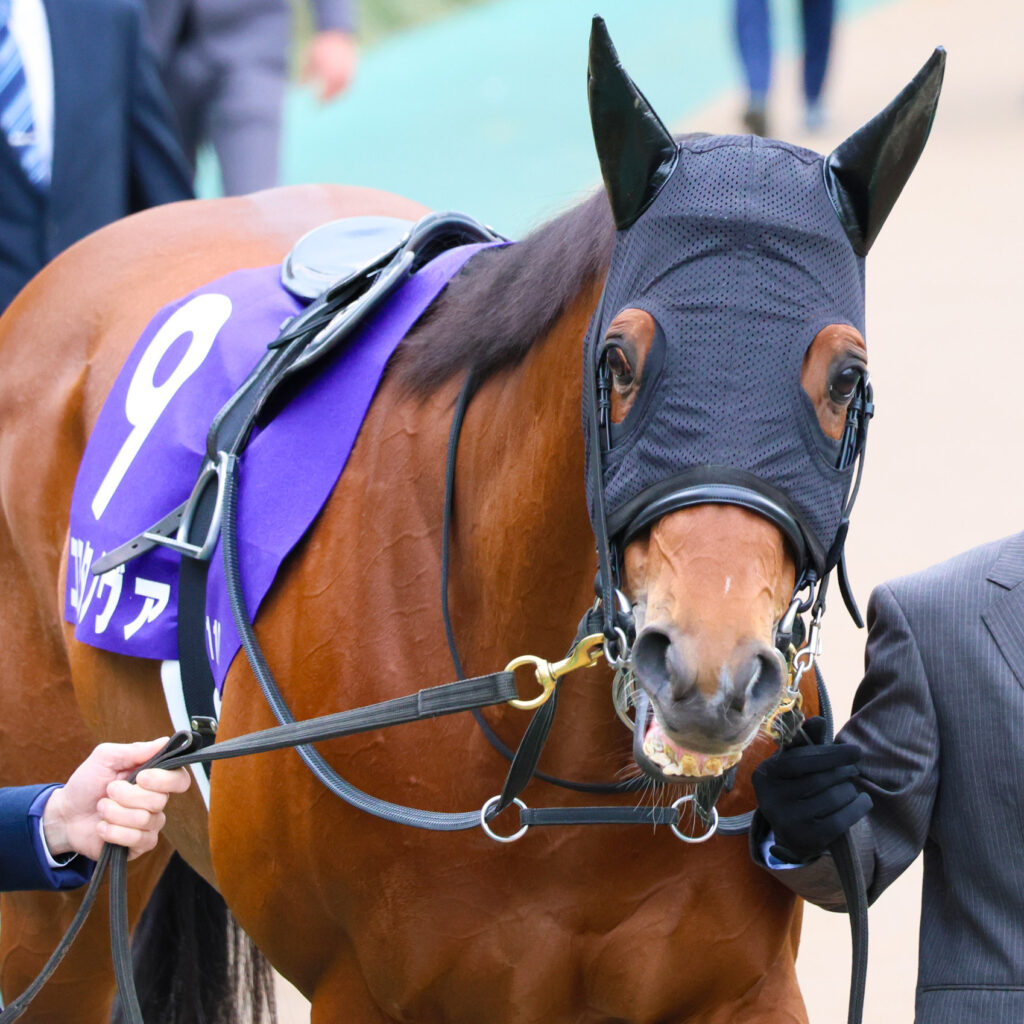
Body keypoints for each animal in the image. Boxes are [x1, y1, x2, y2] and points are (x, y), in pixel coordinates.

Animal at [0, 20, 943, 1024]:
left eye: (845, 379)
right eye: (619, 360)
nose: (708, 675)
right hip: (55, 896)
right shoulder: (365, 995)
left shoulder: (743, 987)